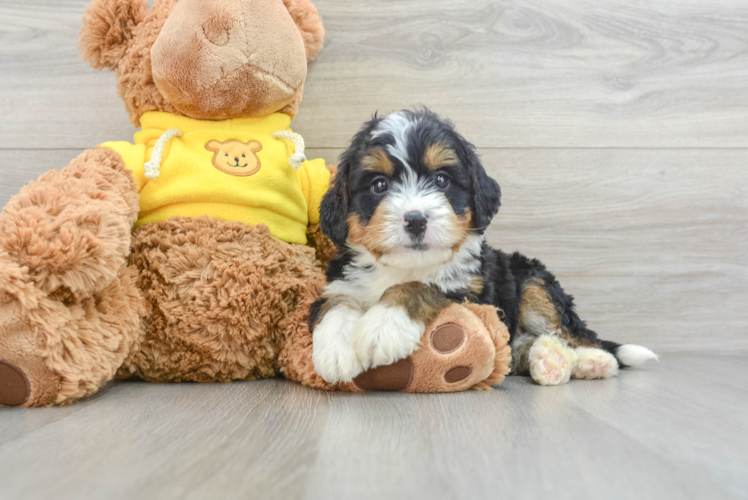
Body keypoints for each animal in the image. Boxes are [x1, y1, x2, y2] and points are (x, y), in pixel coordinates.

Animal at [308, 109, 656, 386]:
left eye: (442, 180)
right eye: (379, 185)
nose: (416, 220)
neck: (403, 266)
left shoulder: (472, 293)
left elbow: (421, 285)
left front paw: (384, 326)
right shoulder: (341, 280)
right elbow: (336, 302)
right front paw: (336, 349)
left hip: (534, 282)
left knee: (575, 333)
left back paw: (591, 362)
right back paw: (546, 359)